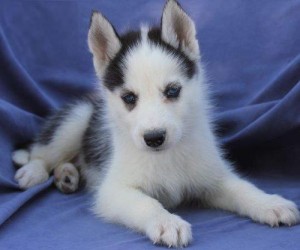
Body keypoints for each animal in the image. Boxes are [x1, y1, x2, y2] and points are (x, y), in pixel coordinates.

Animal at [13, 0, 300, 246]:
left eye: (172, 91)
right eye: (129, 98)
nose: (154, 138)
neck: (167, 157)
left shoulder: (212, 177)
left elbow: (242, 188)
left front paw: (269, 203)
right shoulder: (114, 190)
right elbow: (146, 203)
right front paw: (166, 222)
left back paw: (67, 175)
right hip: (77, 118)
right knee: (43, 151)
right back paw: (35, 171)